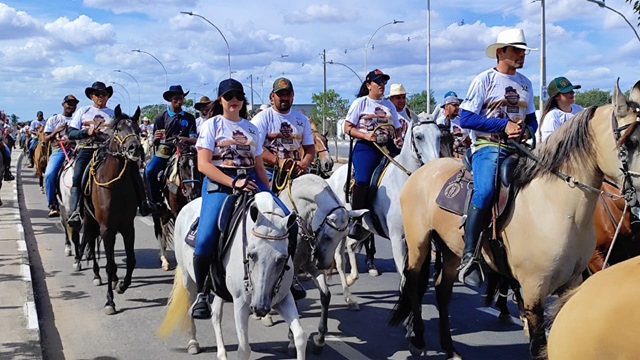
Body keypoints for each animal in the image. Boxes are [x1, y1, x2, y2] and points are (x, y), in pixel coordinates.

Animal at [81, 105, 142, 316]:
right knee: (92, 244)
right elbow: (108, 264)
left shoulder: (127, 227)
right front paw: (109, 301)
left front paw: (122, 285)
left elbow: (131, 260)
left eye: (138, 129)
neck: (117, 185)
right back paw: (96, 275)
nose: (135, 148)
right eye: (118, 129)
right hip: (90, 221)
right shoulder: (106, 227)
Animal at [156, 193, 304, 358]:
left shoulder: (283, 298)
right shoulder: (241, 303)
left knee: (215, 315)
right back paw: (193, 343)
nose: (260, 308)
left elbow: (300, 336)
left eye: (282, 258)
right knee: (190, 308)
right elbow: (244, 349)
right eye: (251, 255)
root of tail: (186, 206)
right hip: (188, 280)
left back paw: (221, 353)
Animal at [328, 116, 442, 308]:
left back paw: (352, 278)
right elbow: (404, 278)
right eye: (419, 136)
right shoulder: (398, 239)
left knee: (351, 246)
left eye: (440, 135)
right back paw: (348, 297)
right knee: (339, 259)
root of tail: (332, 177)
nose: (435, 167)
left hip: (365, 228)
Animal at [390, 79, 640, 360]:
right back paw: (418, 339)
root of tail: (421, 171)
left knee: (443, 291)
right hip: (418, 241)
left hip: (451, 248)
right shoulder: (533, 290)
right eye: (631, 141)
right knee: (413, 281)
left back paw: (449, 347)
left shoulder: (573, 282)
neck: (556, 207)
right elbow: (538, 345)